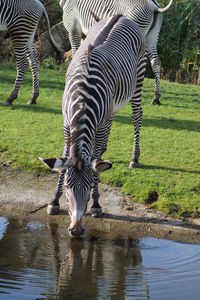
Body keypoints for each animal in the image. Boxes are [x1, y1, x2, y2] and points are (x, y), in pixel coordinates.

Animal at [40, 14, 147, 237]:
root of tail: (121, 16)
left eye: (89, 187)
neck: (83, 98)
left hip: (138, 80)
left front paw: (96, 205)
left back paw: (134, 158)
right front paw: (54, 201)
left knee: (137, 115)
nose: (76, 230)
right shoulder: (66, 123)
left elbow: (96, 162)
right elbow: (65, 157)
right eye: (68, 186)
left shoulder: (103, 123)